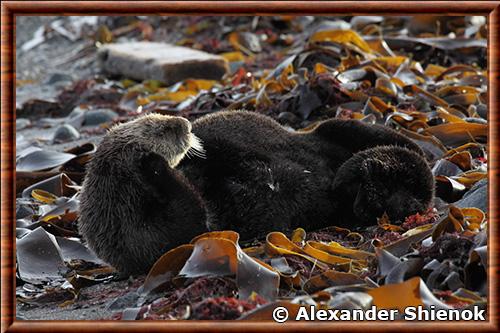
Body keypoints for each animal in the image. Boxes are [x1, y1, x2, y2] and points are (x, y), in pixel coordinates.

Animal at [78, 110, 434, 272]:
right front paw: (152, 163)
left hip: (332, 129)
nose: (184, 123)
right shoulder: (168, 236)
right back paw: (370, 185)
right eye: (162, 129)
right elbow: (190, 215)